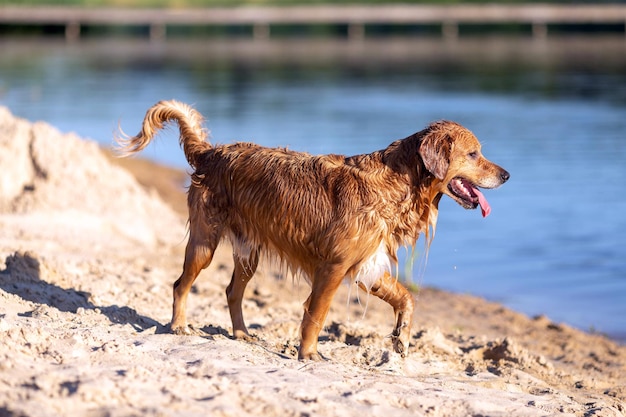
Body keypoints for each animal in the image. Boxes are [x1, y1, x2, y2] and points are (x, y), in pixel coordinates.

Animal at [117, 99, 508, 360]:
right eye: (474, 154)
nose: (506, 175)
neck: (397, 183)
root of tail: (210, 152)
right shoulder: (334, 266)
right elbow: (317, 314)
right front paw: (308, 354)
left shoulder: (368, 264)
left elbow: (406, 297)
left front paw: (402, 335)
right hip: (204, 241)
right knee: (181, 284)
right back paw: (179, 325)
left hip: (249, 250)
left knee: (232, 292)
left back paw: (243, 334)